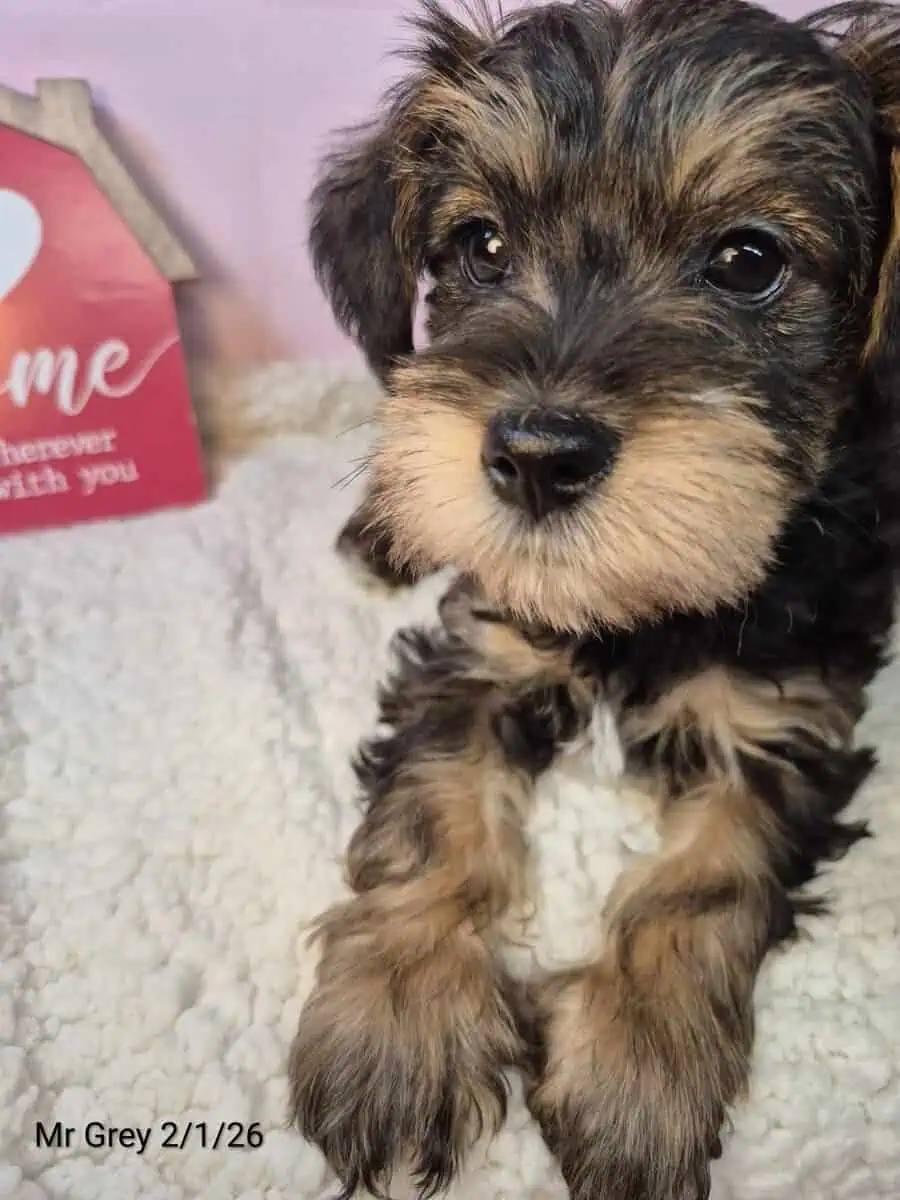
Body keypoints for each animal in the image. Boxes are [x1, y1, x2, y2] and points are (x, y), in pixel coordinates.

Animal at [288, 2, 900, 1197]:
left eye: (749, 260)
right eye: (481, 246)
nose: (536, 455)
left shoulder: (784, 717)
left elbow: (704, 882)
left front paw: (639, 1075)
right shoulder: (482, 649)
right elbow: (431, 815)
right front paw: (396, 1021)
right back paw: (380, 530)